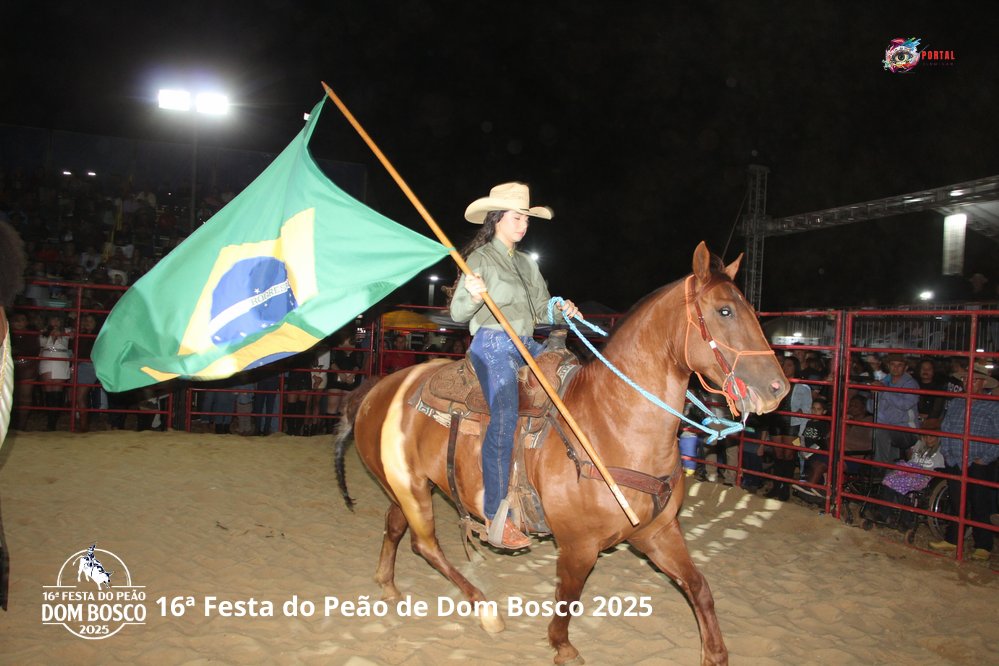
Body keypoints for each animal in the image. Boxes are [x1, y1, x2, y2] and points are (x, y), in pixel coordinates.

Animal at [334, 242, 788, 665]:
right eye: (724, 311)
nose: (777, 389)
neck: (609, 424)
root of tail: (376, 388)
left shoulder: (658, 533)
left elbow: (699, 587)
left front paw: (715, 653)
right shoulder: (578, 546)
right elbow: (568, 595)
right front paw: (563, 646)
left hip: (406, 485)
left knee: (396, 528)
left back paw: (388, 584)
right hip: (411, 488)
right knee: (424, 544)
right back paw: (485, 609)